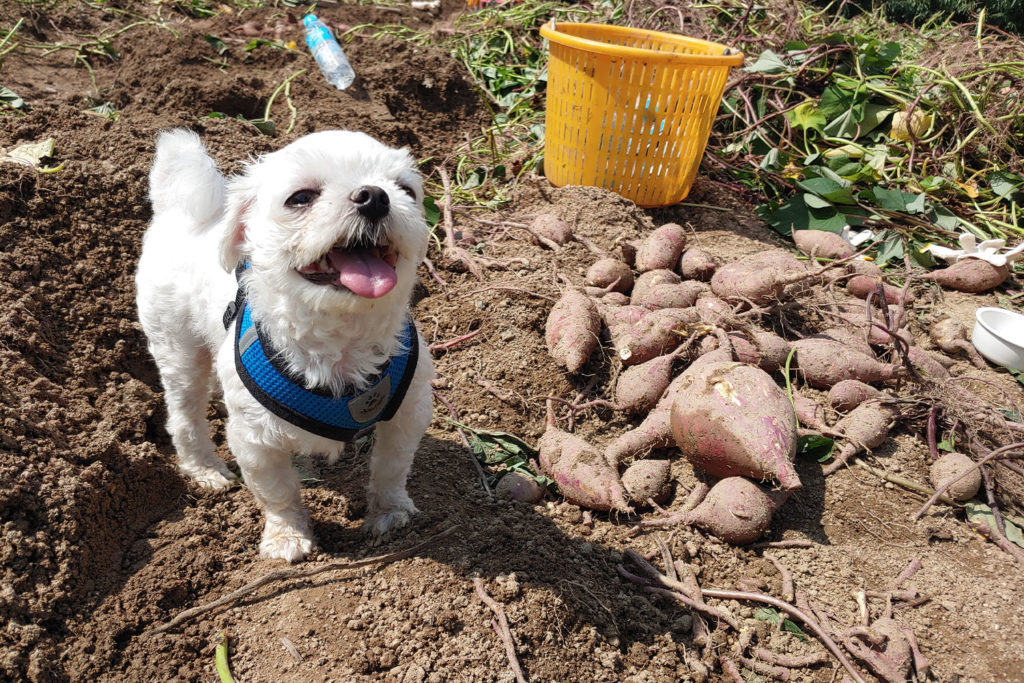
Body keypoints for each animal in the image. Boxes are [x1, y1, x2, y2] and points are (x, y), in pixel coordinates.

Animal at [137, 131, 436, 565]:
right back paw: (204, 468)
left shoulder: (407, 412)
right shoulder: (254, 439)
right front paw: (287, 536)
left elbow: (391, 469)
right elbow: (278, 492)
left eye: (406, 191)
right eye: (301, 198)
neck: (342, 342)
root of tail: (183, 213)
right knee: (184, 415)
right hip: (178, 349)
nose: (375, 196)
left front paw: (390, 513)